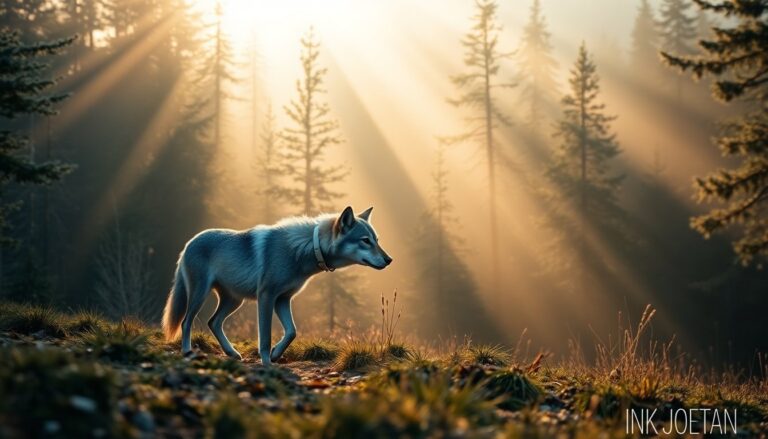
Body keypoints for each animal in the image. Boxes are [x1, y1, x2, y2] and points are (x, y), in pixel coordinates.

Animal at [161, 206, 392, 366]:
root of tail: (189, 242)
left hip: (234, 301)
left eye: (377, 240)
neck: (305, 249)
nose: (389, 259)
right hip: (201, 294)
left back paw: (232, 353)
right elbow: (264, 337)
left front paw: (275, 354)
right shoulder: (266, 297)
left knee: (213, 322)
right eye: (365, 240)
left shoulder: (283, 299)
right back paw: (187, 352)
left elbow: (291, 332)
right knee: (186, 322)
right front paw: (266, 363)